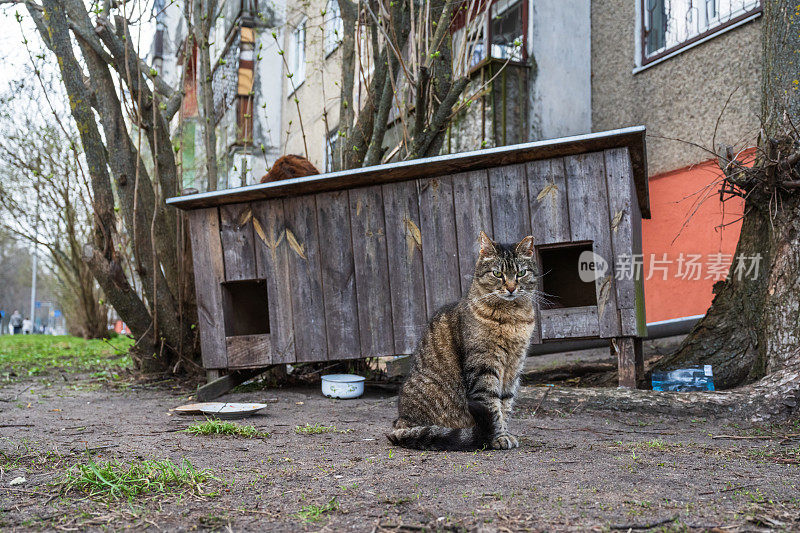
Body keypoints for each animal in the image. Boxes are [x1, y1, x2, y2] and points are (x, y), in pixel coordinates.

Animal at [388, 231, 536, 450]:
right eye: (497, 274)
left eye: (521, 273)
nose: (510, 288)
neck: (513, 317)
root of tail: (399, 423)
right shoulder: (484, 366)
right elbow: (492, 406)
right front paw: (498, 437)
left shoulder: (514, 367)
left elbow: (506, 404)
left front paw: (505, 433)